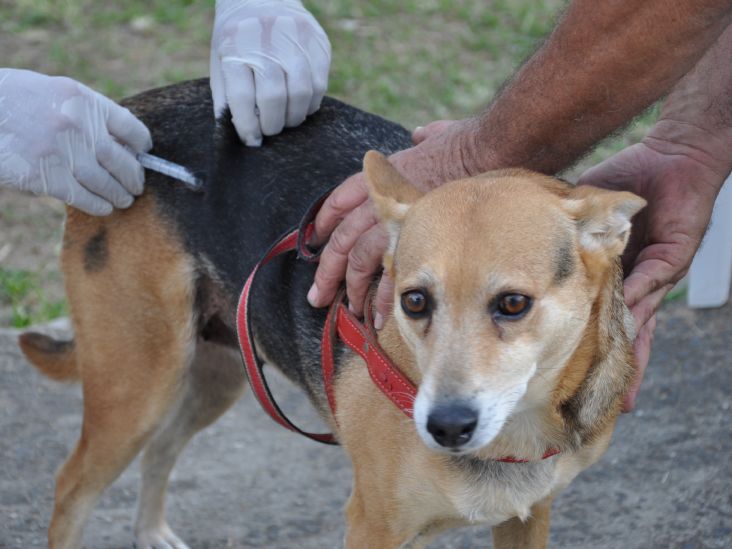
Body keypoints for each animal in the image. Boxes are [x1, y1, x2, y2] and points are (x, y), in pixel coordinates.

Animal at [20, 78, 644, 548]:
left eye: (514, 304)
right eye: (413, 301)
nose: (444, 426)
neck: (518, 429)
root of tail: (134, 114)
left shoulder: (529, 517)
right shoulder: (371, 526)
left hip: (216, 370)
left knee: (162, 448)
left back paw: (151, 533)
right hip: (139, 383)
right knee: (71, 486)